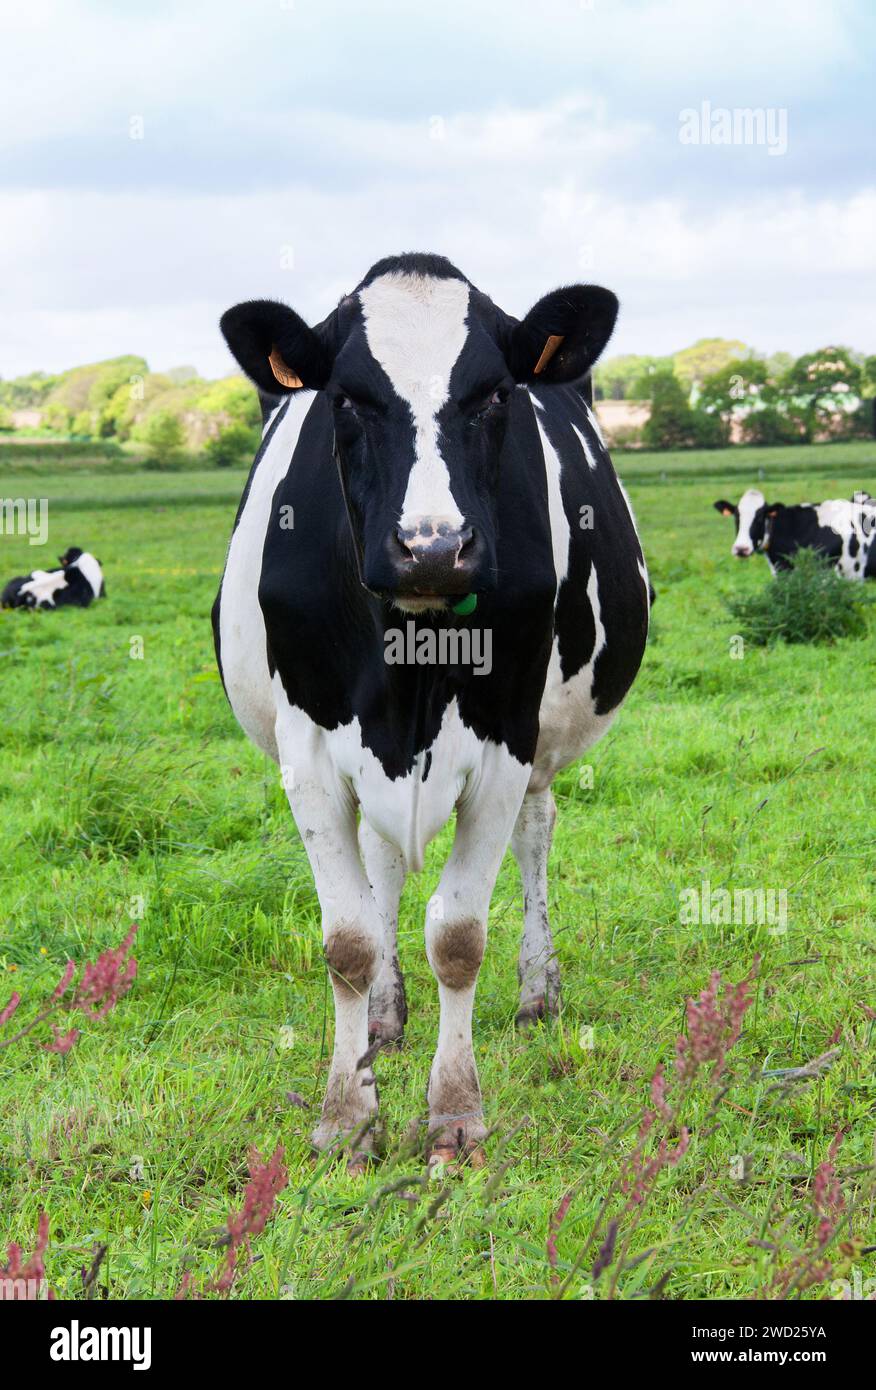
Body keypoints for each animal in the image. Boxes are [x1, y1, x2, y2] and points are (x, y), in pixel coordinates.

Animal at [214, 252, 653, 1173]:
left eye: (493, 395)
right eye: (349, 398)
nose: (433, 547)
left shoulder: (505, 744)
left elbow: (458, 937)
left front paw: (454, 1117)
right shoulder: (308, 755)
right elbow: (349, 939)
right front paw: (349, 1117)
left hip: (542, 745)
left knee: (535, 835)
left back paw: (537, 990)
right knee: (382, 868)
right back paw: (384, 1018)